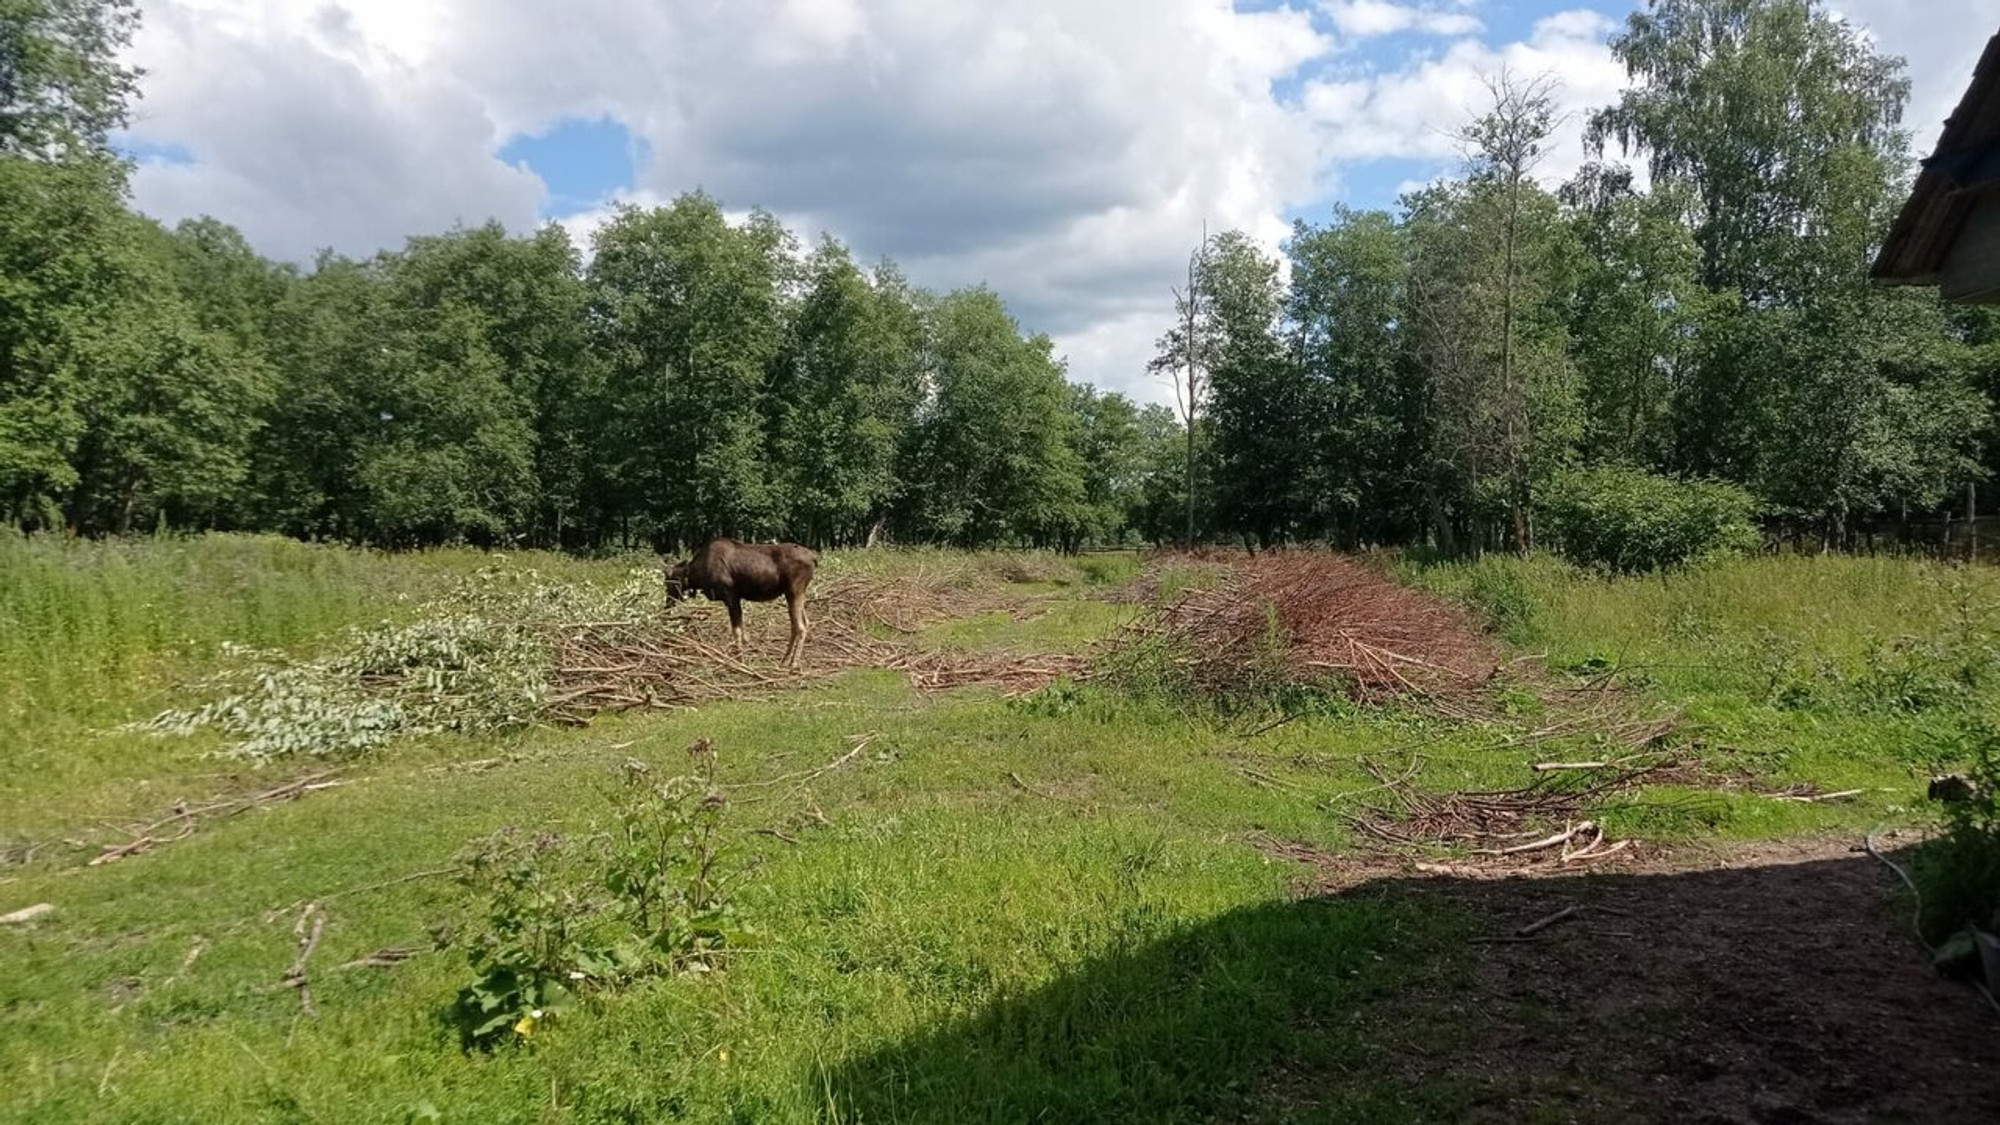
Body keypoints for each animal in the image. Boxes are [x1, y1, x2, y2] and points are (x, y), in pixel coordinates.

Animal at [656, 532, 812, 664]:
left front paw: (740, 660)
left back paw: (793, 663)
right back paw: (785, 660)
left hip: (794, 591)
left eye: (674, 582)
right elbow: (743, 633)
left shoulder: (731, 596)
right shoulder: (735, 599)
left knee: (800, 627)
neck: (698, 576)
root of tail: (814, 559)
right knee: (802, 624)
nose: (667, 604)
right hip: (796, 593)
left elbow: (737, 632)